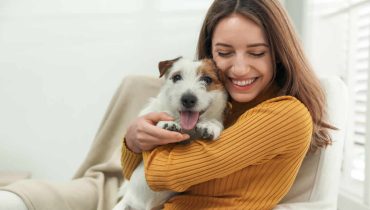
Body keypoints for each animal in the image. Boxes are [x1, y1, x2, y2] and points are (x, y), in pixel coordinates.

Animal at [112, 56, 228, 210]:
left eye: (207, 79)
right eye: (177, 77)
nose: (188, 99)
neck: (187, 128)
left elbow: (216, 122)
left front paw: (210, 126)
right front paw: (167, 124)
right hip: (125, 203)